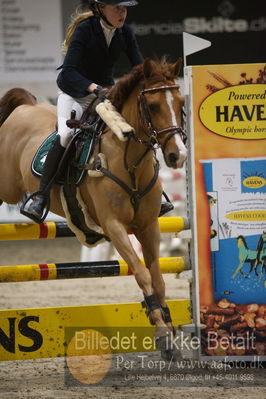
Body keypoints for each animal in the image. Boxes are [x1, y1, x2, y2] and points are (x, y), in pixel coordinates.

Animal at [0, 57, 187, 360]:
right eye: (153, 105)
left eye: (181, 102)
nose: (177, 155)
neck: (128, 160)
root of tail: (26, 105)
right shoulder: (114, 226)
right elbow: (142, 273)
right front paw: (161, 331)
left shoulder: (148, 226)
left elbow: (157, 278)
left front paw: (169, 332)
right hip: (7, 186)